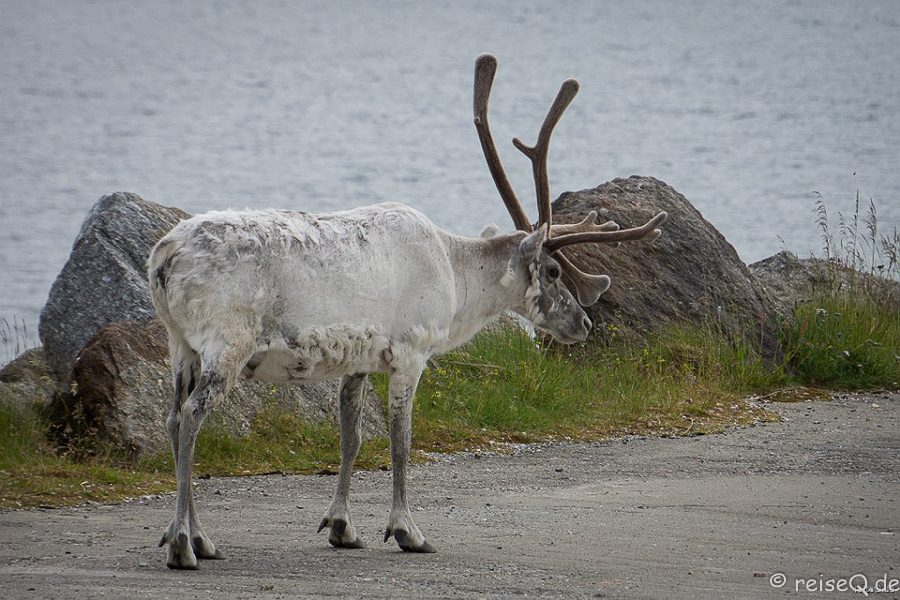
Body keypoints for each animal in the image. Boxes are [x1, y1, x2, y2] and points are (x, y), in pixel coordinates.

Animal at [147, 53, 666, 569]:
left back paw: (195, 536)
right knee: (192, 416)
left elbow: (352, 437)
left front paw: (341, 526)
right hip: (227, 343)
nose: (584, 322)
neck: (456, 280)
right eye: (555, 271)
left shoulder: (356, 360)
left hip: (180, 344)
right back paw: (183, 545)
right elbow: (401, 440)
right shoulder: (412, 350)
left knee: (171, 419)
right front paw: (407, 531)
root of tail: (164, 255)